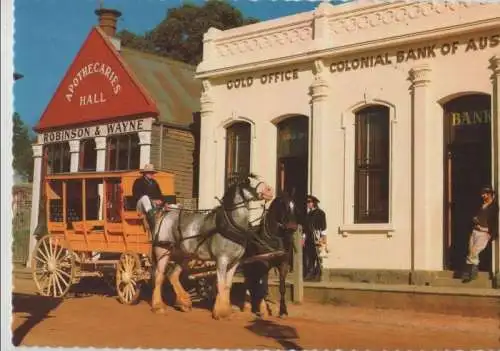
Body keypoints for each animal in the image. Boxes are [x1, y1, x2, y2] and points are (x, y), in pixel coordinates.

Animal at [150, 175, 274, 320]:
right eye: (248, 182)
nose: (269, 190)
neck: (231, 225)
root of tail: (166, 213)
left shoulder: (235, 262)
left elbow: (227, 286)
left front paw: (226, 310)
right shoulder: (222, 260)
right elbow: (220, 284)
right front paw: (221, 312)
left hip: (185, 255)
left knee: (173, 275)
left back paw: (185, 303)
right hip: (163, 251)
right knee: (159, 276)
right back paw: (158, 307)